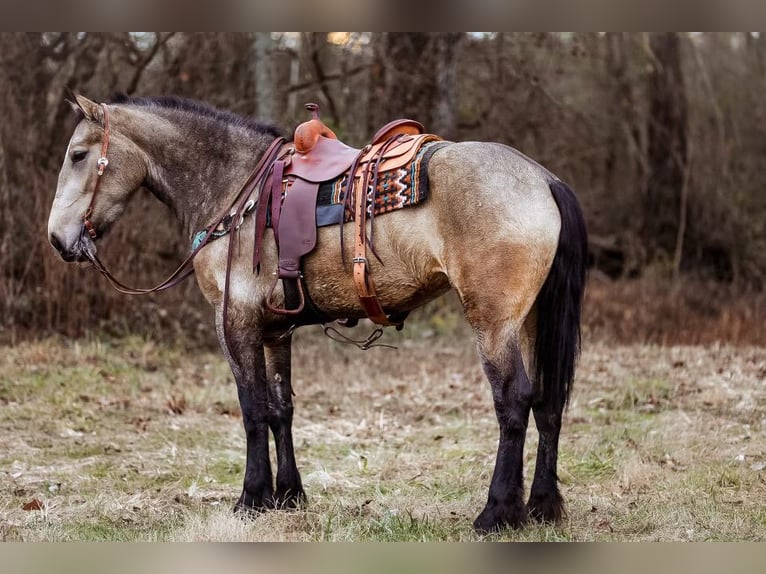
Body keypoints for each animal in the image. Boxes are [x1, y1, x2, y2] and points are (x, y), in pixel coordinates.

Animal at [46, 94, 588, 536]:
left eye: (78, 155)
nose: (57, 239)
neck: (235, 190)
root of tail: (542, 179)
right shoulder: (274, 331)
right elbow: (281, 409)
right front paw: (288, 495)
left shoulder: (235, 324)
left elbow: (252, 411)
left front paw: (252, 498)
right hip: (531, 321)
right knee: (547, 402)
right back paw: (542, 507)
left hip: (493, 324)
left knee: (514, 403)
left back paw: (498, 513)